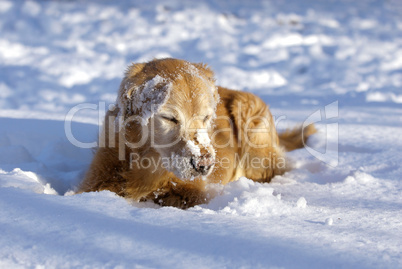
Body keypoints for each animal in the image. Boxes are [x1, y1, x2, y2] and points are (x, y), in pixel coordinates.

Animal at [78, 58, 316, 207]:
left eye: (206, 117)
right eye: (170, 118)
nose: (204, 165)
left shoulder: (195, 191)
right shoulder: (95, 181)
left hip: (249, 114)